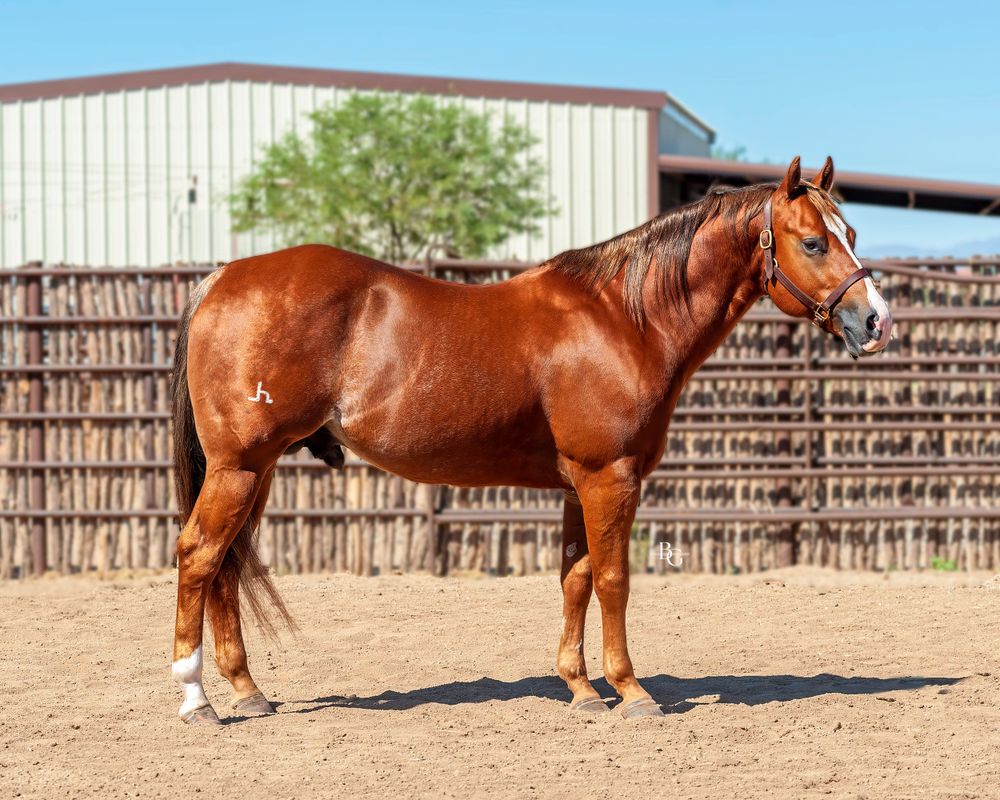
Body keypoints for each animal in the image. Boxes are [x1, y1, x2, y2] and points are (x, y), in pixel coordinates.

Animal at [169, 156, 892, 724]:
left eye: (852, 233)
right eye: (814, 243)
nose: (877, 323)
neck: (623, 318)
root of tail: (222, 278)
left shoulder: (579, 484)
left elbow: (575, 578)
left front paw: (582, 689)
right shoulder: (610, 477)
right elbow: (614, 580)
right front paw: (632, 692)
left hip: (256, 470)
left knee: (227, 565)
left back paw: (248, 691)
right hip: (239, 467)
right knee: (199, 556)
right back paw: (196, 700)